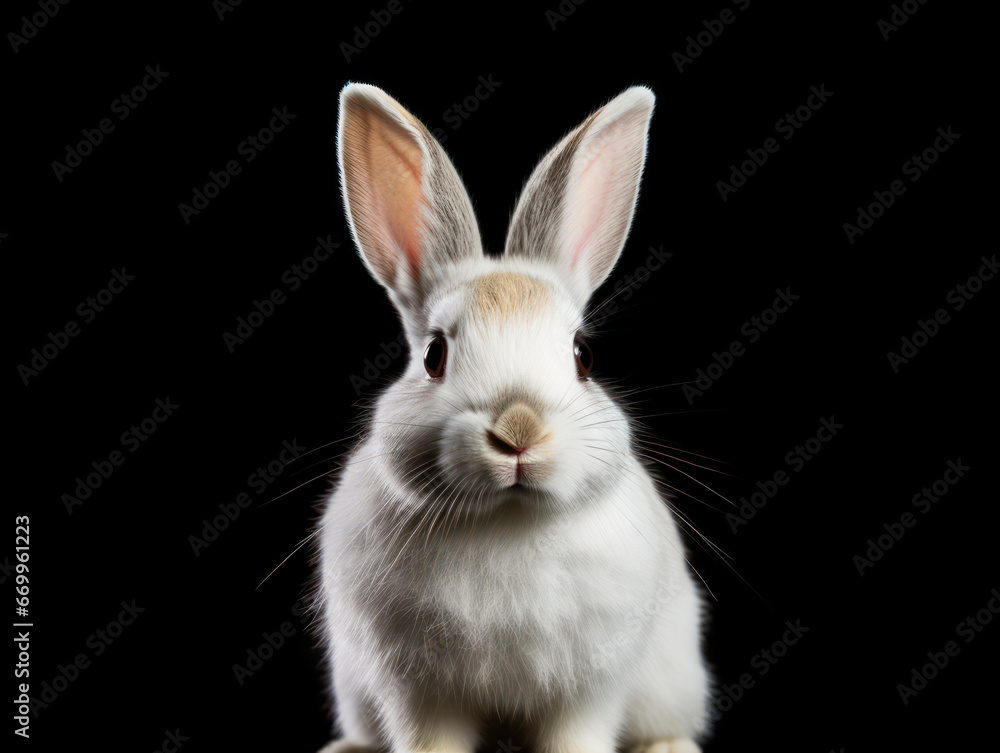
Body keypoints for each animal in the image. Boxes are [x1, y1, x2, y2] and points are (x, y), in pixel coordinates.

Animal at [315, 82, 710, 753]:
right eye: (434, 355)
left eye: (583, 356)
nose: (519, 430)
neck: (506, 520)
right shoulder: (417, 690)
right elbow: (429, 738)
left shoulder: (587, 688)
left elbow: (576, 736)